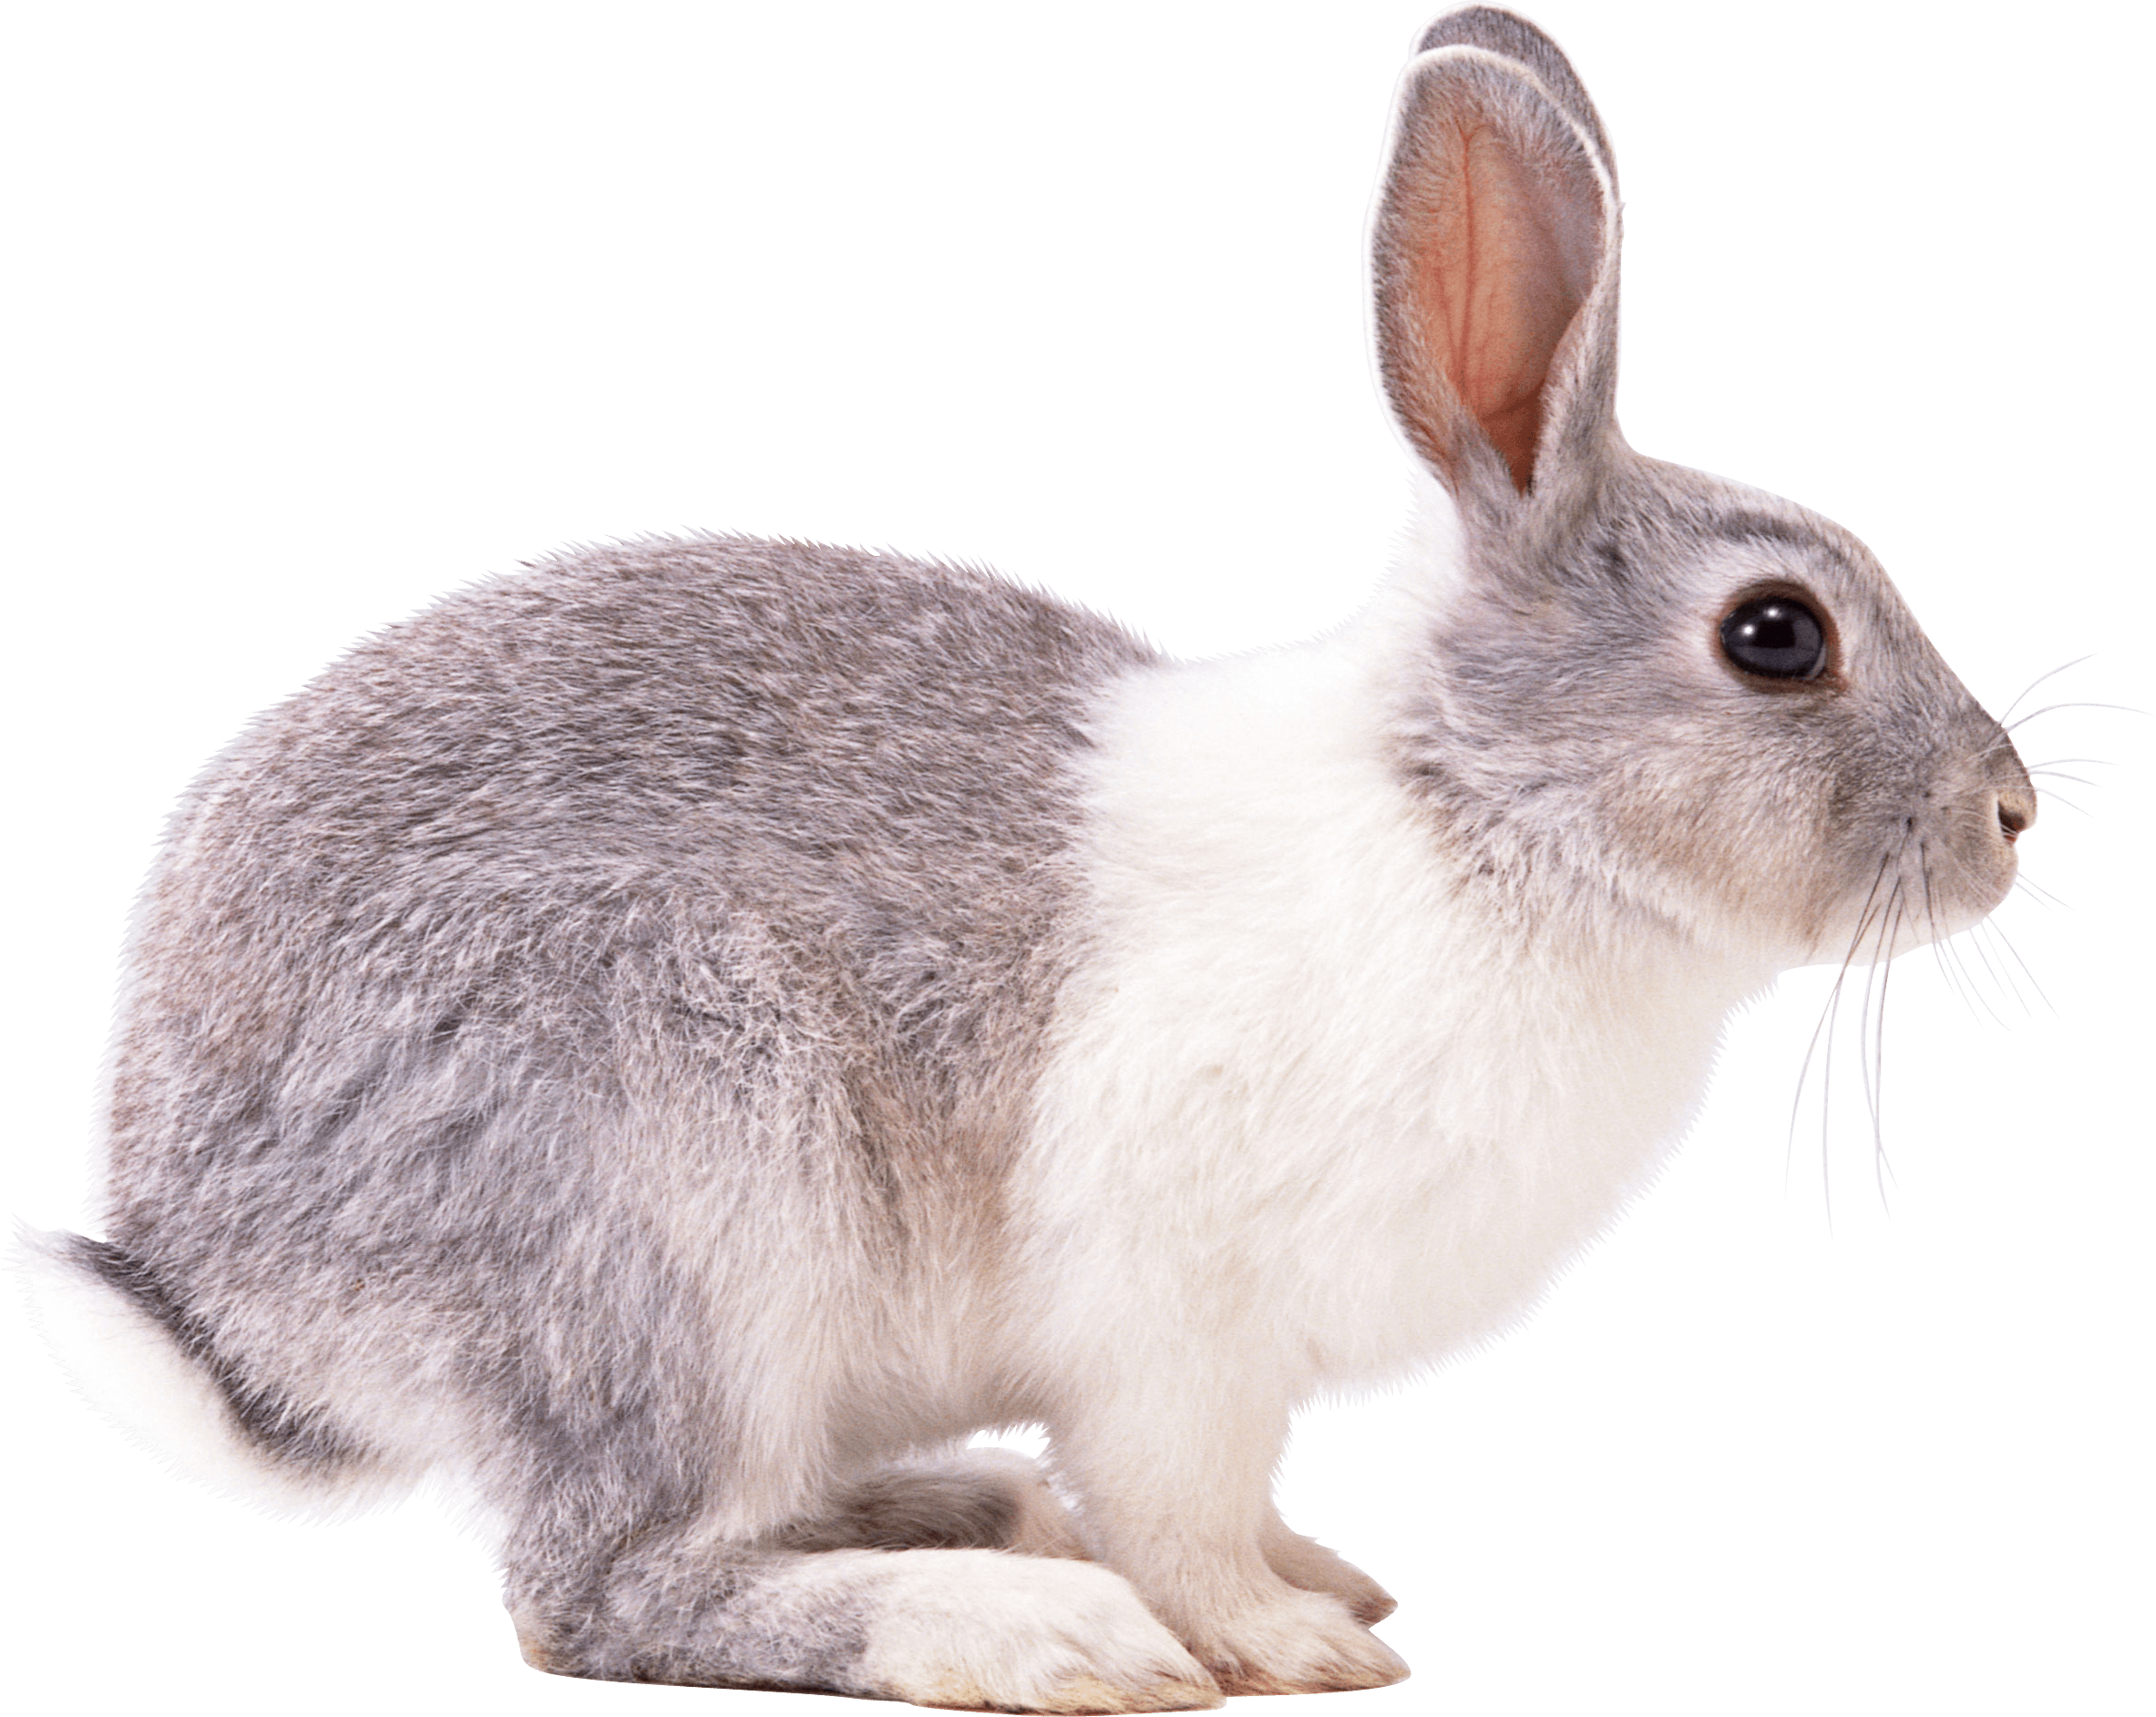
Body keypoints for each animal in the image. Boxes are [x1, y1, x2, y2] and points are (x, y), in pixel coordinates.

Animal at [13, 4, 2041, 1710]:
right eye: (1774, 637)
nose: (2008, 818)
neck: (1476, 807)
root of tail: (226, 1297)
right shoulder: (1175, 1339)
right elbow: (1181, 1508)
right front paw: (1284, 1643)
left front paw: (1326, 1577)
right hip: (672, 1193)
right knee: (610, 1589)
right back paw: (1033, 1631)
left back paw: (988, 1520)